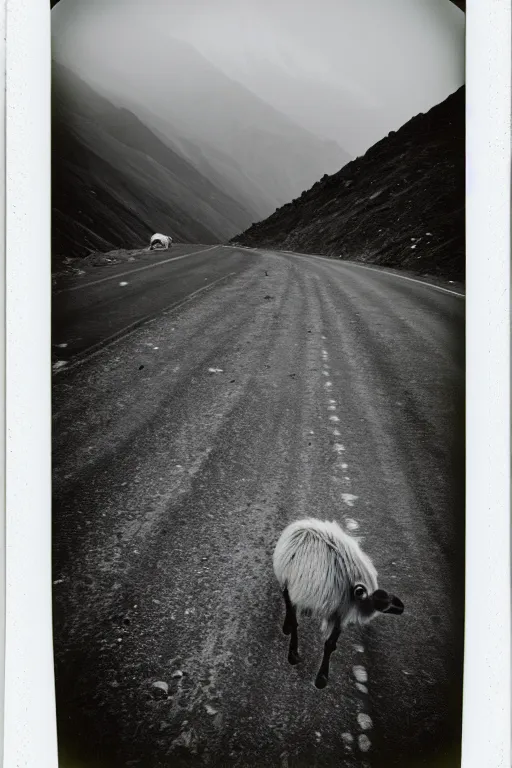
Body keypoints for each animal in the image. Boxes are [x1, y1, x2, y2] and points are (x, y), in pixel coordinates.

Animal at [272, 516, 404, 688]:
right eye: (377, 606)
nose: (400, 607)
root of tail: (302, 524)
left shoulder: (341, 611)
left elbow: (330, 643)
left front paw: (321, 676)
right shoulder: (341, 608)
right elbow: (325, 640)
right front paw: (317, 674)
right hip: (289, 583)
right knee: (291, 611)